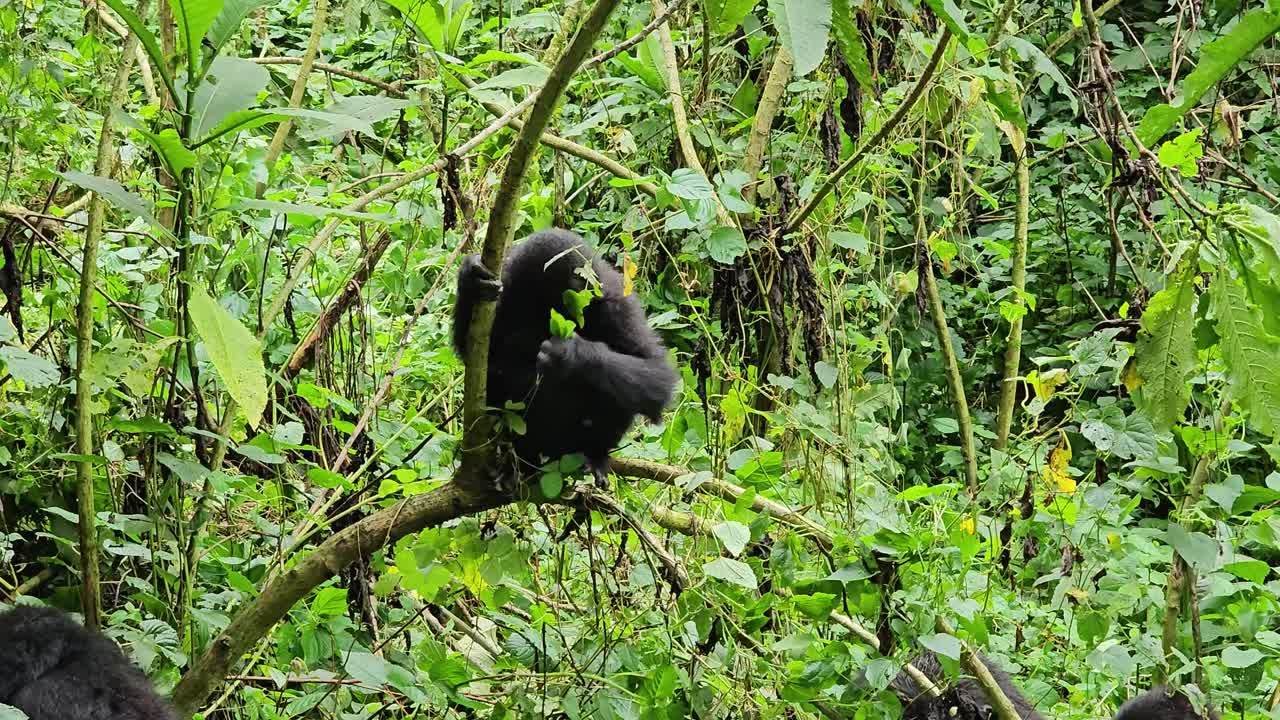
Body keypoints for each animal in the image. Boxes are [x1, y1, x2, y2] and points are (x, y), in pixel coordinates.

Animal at [452, 228, 678, 488]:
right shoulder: (505, 291)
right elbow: (479, 357)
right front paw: (471, 279)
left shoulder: (617, 304)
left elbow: (658, 375)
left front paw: (570, 355)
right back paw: (518, 461)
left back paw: (594, 455)